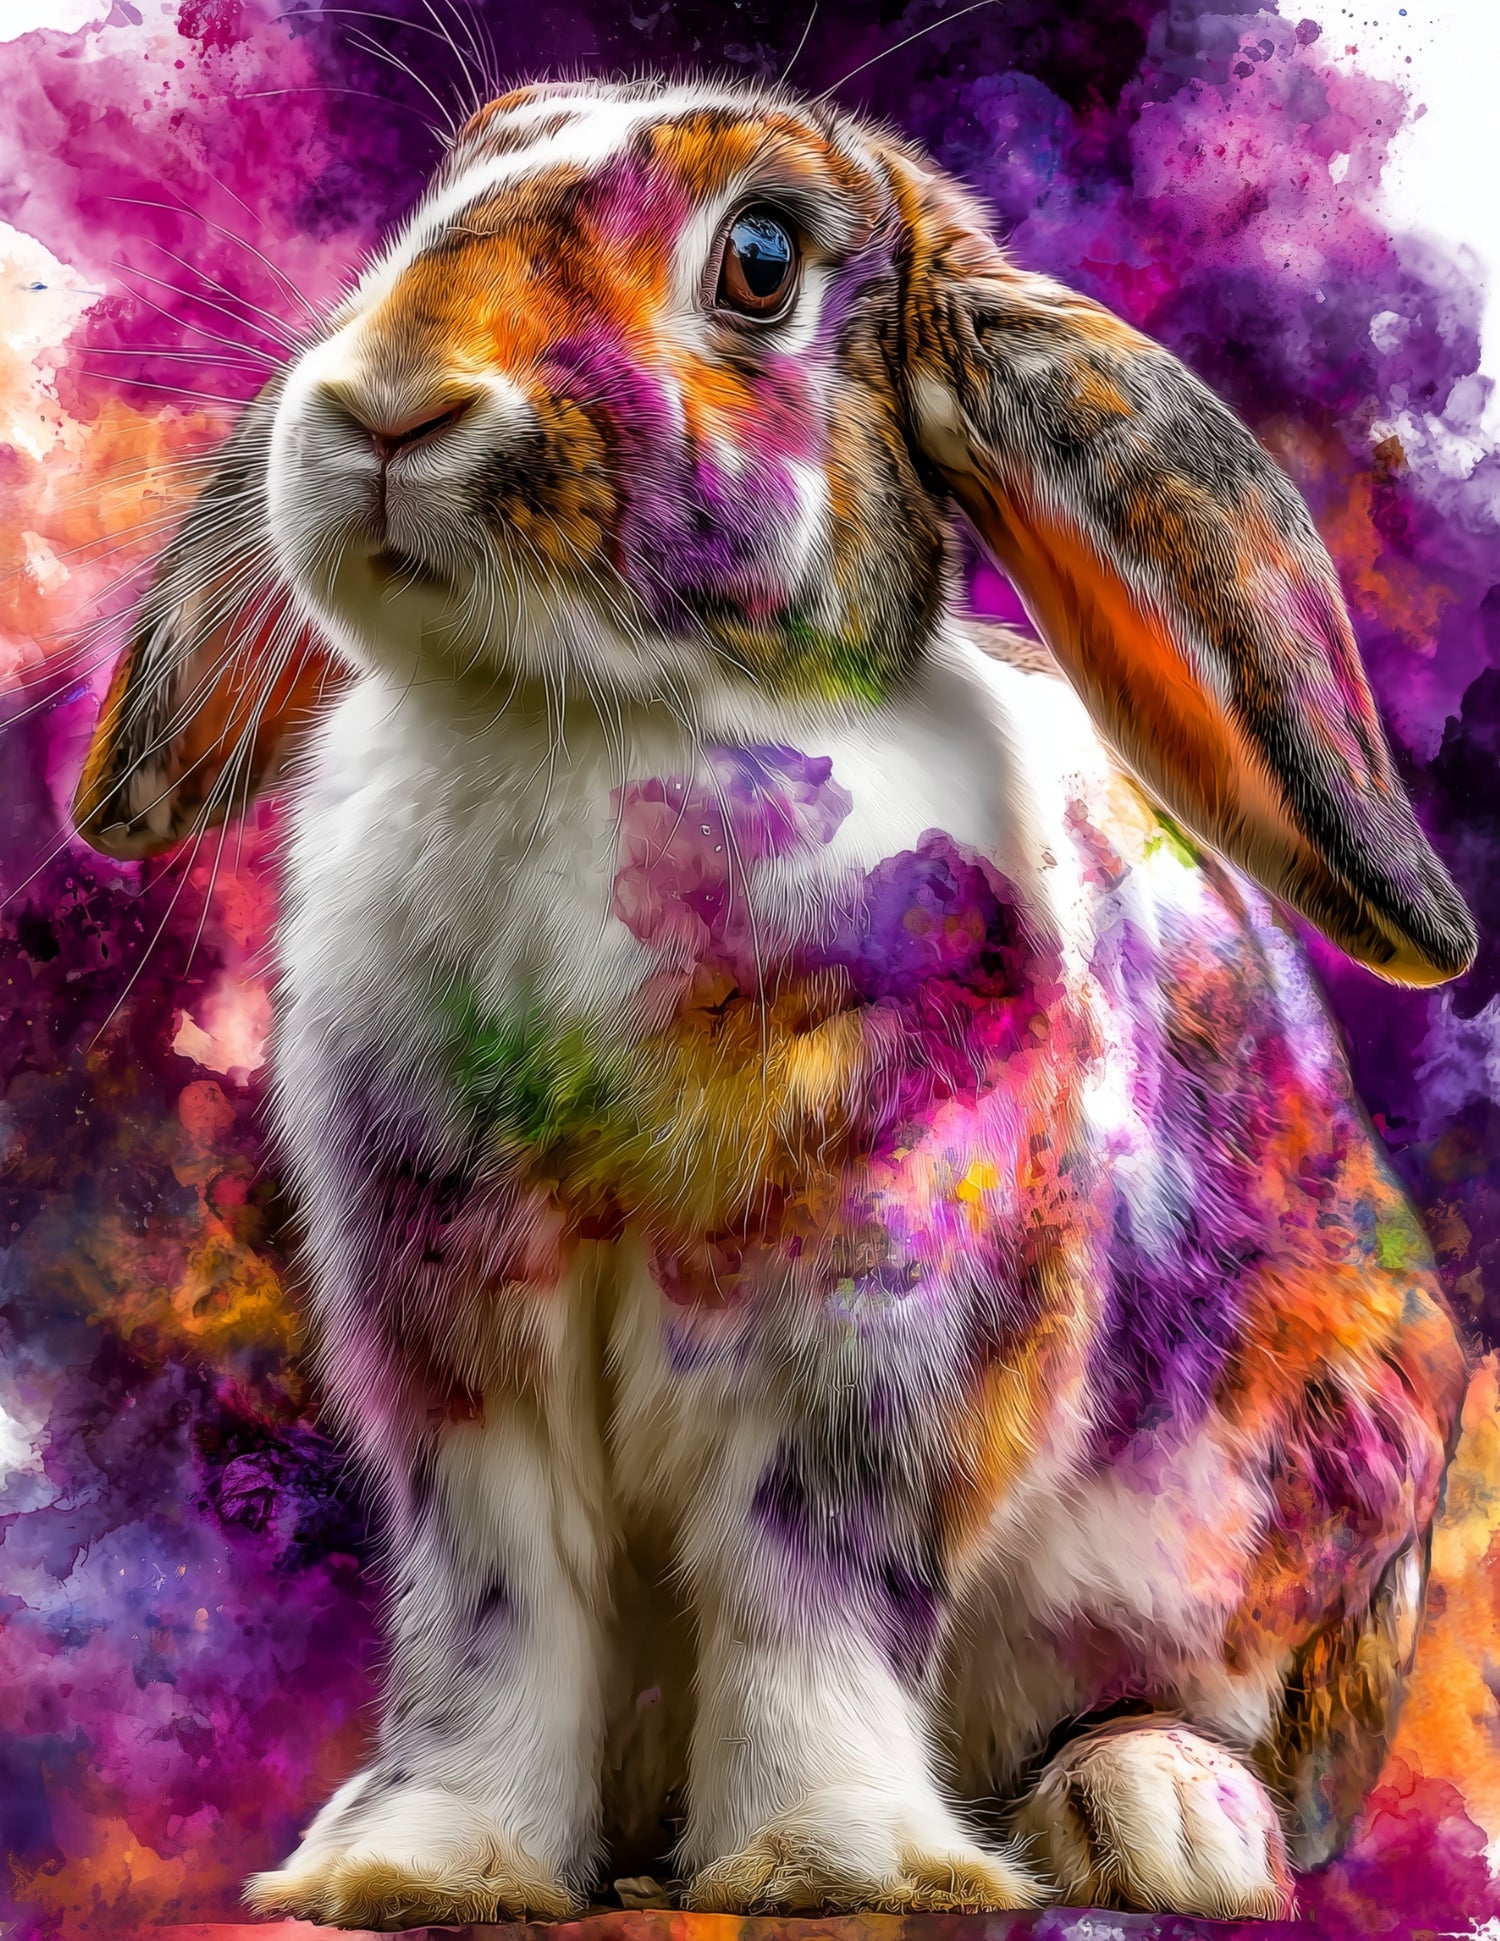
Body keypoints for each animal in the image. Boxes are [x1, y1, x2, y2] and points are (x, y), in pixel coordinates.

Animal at [72, 75, 1477, 1926]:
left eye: (760, 261)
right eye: (443, 190)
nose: (385, 405)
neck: (591, 720)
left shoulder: (871, 1328)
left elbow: (807, 1586)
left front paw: (832, 1859)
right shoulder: (460, 1346)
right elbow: (503, 1602)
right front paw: (425, 1861)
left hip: (1290, 1507)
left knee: (1208, 1726)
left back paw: (1160, 1819)